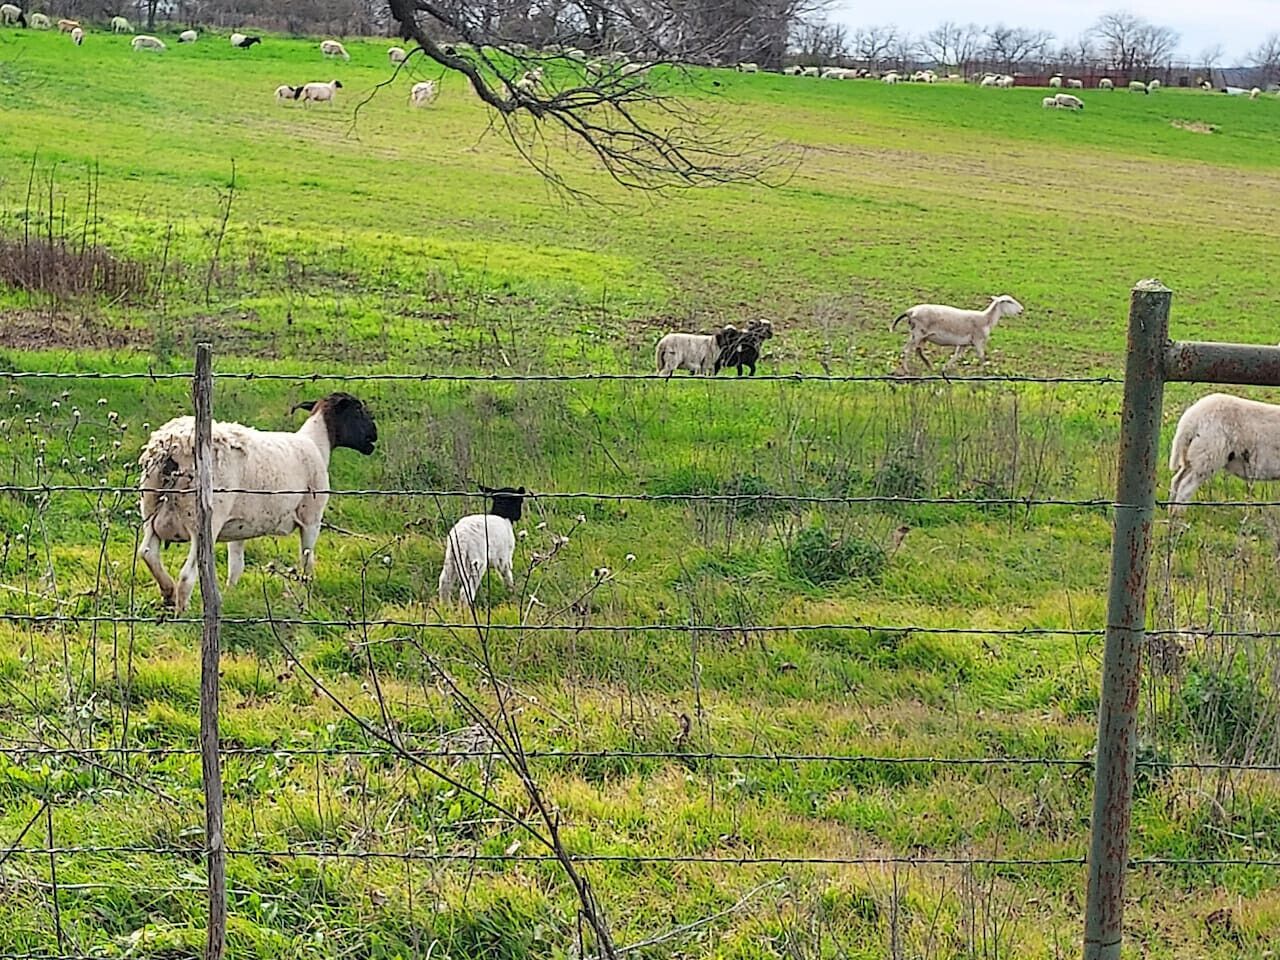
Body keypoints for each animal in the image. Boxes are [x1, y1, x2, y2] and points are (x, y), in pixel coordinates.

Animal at [136, 392, 378, 613]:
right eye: (358, 408)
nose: (374, 434)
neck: (317, 443)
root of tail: (172, 447)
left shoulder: (238, 528)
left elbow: (236, 567)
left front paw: (231, 596)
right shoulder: (311, 518)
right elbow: (307, 562)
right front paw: (306, 597)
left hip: (150, 509)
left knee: (147, 552)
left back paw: (168, 592)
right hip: (203, 522)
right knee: (186, 576)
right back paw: (181, 610)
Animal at [891, 295, 1024, 374]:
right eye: (1008, 301)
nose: (1021, 310)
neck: (987, 319)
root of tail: (910, 311)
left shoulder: (964, 343)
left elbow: (956, 356)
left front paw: (944, 369)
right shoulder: (977, 340)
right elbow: (981, 356)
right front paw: (983, 372)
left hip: (922, 335)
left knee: (918, 350)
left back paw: (930, 367)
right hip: (918, 333)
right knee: (907, 350)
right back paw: (907, 370)